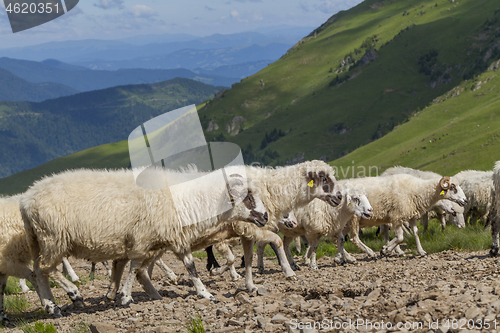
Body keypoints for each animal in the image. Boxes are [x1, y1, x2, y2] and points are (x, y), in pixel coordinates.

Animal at [21, 167, 268, 312]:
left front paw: (204, 293)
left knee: (39, 271)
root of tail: (26, 200)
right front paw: (125, 296)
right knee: (46, 269)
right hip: (53, 238)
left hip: (42, 240)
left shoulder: (170, 237)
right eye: (247, 196)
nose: (265, 216)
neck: (187, 199)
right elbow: (140, 265)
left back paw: (51, 306)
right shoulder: (143, 238)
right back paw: (73, 294)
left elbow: (184, 266)